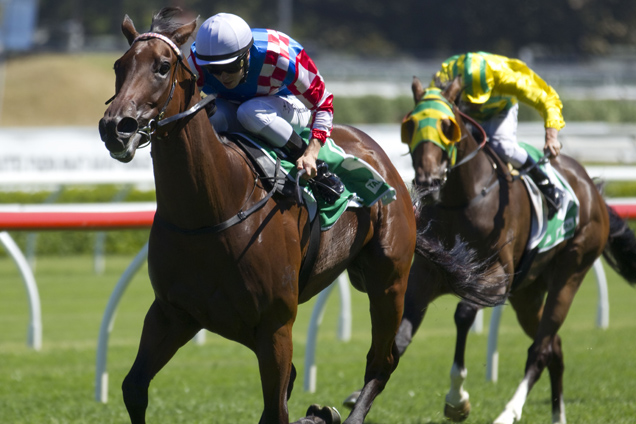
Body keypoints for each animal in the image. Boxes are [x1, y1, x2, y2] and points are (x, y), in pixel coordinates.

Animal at [97, 7, 420, 424]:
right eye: (119, 65)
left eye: (163, 66)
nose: (115, 127)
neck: (209, 212)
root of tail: (375, 150)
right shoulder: (173, 313)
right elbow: (134, 388)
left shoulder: (275, 325)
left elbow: (276, 407)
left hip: (388, 281)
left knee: (382, 360)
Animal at [392, 77, 636, 424]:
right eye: (410, 125)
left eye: (447, 126)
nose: (428, 180)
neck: (461, 199)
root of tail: (593, 189)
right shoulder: (426, 274)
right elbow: (402, 332)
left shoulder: (497, 276)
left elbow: (463, 315)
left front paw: (457, 399)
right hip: (527, 294)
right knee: (554, 346)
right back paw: (557, 416)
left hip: (571, 271)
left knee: (541, 350)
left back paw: (509, 412)